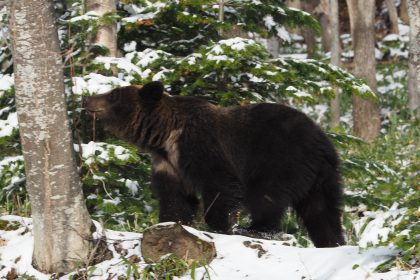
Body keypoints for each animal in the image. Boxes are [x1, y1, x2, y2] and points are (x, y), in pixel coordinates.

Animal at [82, 81, 344, 247]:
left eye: (114, 94)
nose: (87, 98)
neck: (165, 137)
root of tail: (322, 142)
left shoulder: (201, 147)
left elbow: (220, 186)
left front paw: (218, 226)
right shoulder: (168, 164)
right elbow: (174, 198)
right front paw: (168, 223)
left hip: (279, 158)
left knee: (266, 196)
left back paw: (253, 228)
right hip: (322, 177)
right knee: (322, 211)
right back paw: (332, 241)